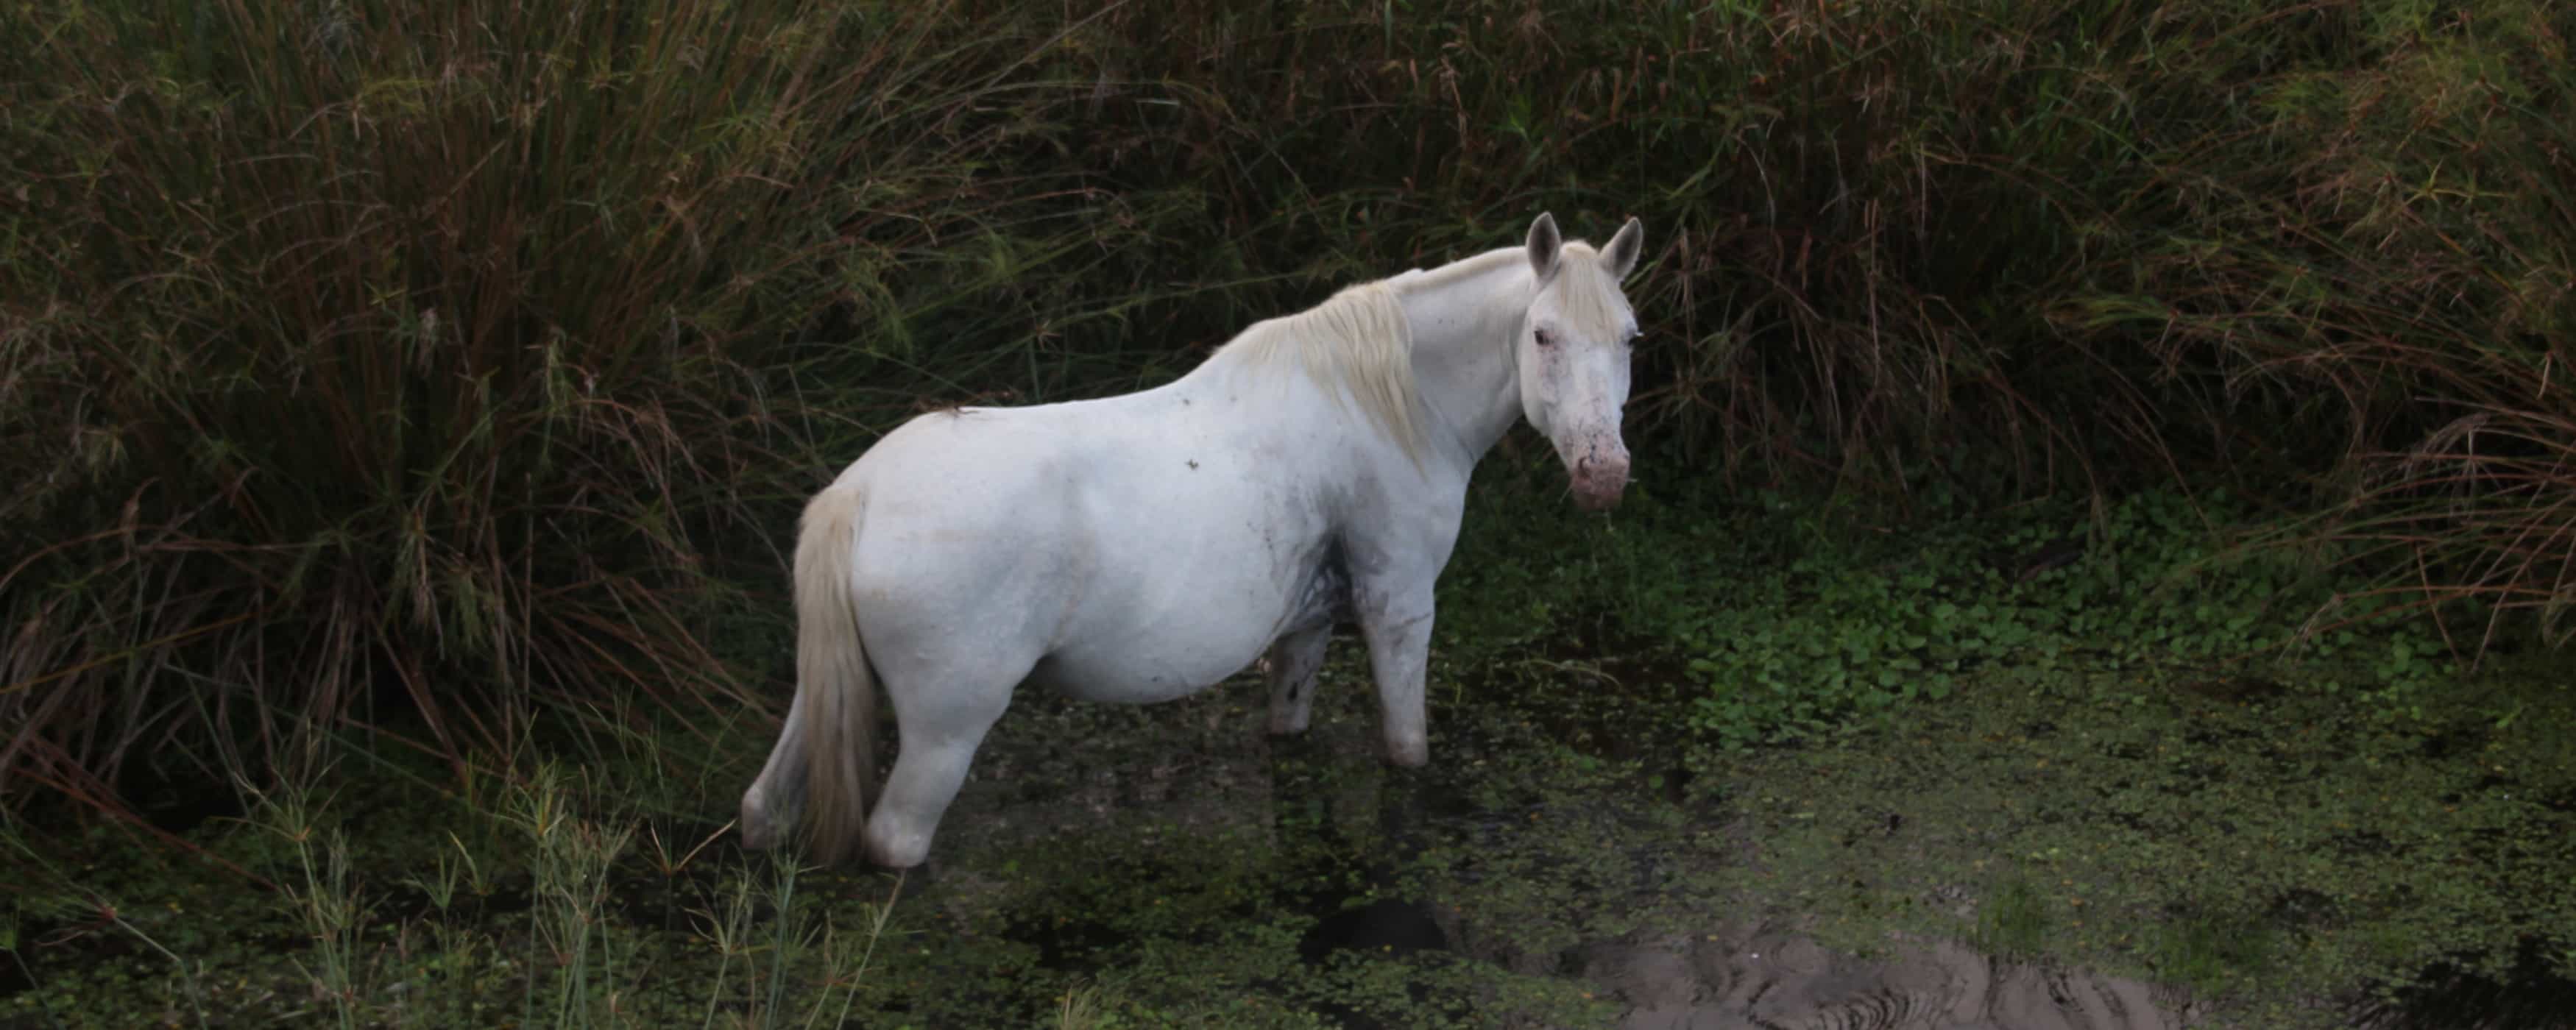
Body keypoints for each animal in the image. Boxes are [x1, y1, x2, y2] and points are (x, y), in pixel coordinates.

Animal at [740, 212, 1647, 868]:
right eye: (1542, 336)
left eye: (1631, 337)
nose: (1603, 474)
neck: (1387, 403)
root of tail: (858, 494)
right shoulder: (1399, 610)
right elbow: (1407, 749)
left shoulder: (1306, 626)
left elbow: (1289, 729)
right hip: (946, 727)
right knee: (895, 841)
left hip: (821, 693)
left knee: (762, 810)